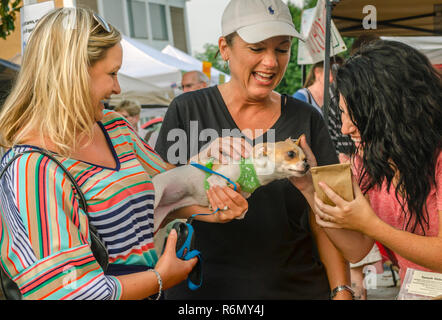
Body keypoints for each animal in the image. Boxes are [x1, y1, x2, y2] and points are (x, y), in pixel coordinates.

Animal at [154, 136, 310, 229]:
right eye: (290, 154)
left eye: (305, 158)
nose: (307, 165)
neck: (254, 171)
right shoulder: (216, 179)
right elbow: (220, 185)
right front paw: (220, 204)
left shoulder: (243, 194)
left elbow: (243, 206)